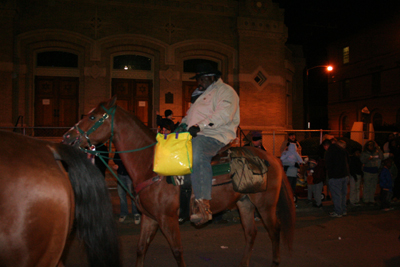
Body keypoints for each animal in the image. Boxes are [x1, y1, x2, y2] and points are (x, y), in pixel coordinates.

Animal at [61, 97, 294, 267]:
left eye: (92, 116)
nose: (66, 137)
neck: (150, 165)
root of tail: (271, 158)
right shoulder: (149, 218)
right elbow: (141, 248)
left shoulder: (168, 219)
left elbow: (176, 251)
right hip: (244, 202)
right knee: (251, 234)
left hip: (265, 204)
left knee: (275, 230)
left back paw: (276, 261)